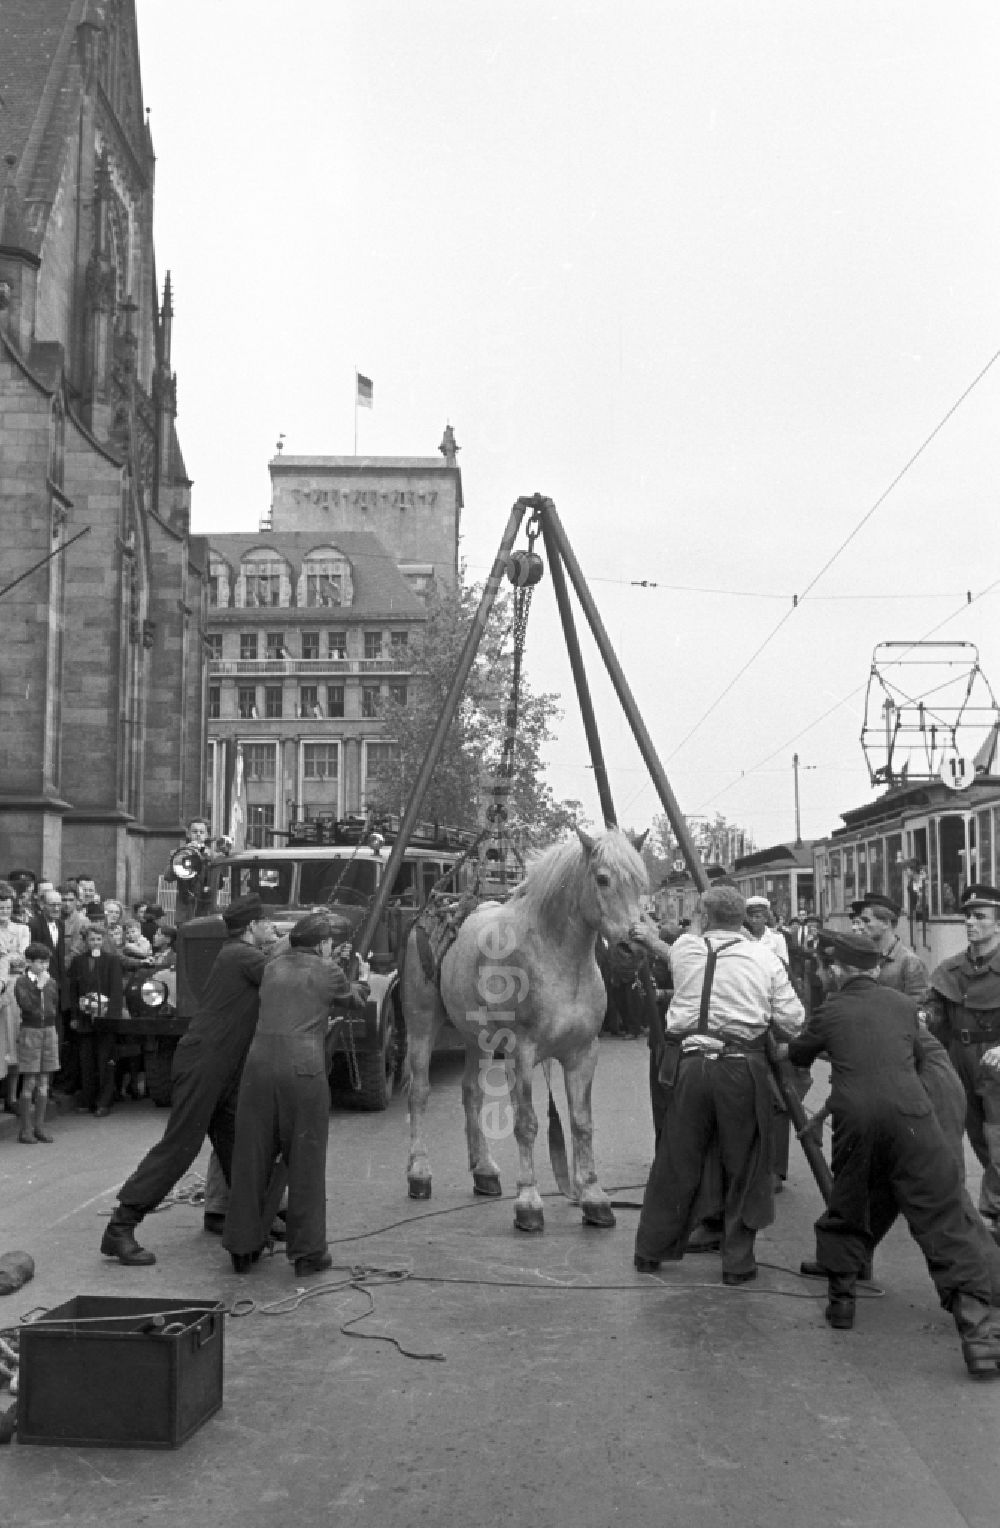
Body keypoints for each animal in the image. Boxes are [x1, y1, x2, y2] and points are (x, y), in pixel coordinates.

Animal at [400, 831, 651, 1234]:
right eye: (602, 879)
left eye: (641, 884)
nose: (633, 948)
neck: (555, 959)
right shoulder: (521, 1053)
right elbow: (527, 1124)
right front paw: (528, 1202)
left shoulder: (583, 1053)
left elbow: (582, 1123)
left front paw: (593, 1198)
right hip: (422, 1025)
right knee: (419, 1093)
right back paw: (419, 1173)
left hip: (477, 1040)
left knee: (471, 1093)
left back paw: (484, 1171)